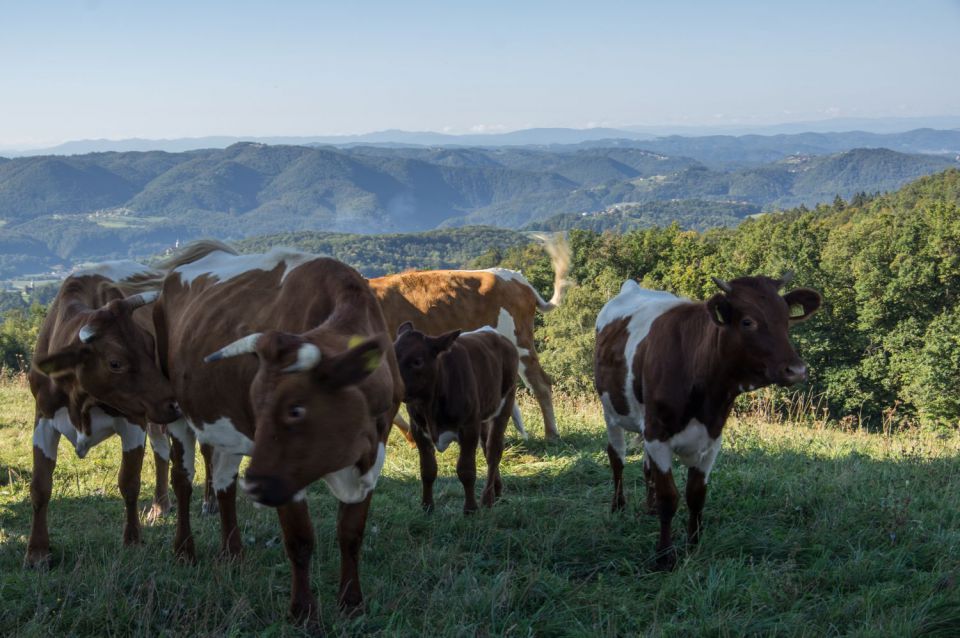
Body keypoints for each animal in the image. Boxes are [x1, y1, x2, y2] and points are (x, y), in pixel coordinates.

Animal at [25, 262, 182, 568]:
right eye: (115, 363)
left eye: (150, 344)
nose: (173, 403)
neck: (81, 401)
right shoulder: (44, 419)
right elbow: (40, 487)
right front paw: (37, 552)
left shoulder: (134, 421)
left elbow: (129, 482)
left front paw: (132, 541)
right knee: (162, 449)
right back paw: (160, 506)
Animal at [154, 242, 402, 624]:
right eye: (258, 404)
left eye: (295, 409)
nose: (256, 486)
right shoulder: (284, 475)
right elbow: (300, 539)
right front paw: (303, 611)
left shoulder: (375, 454)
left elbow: (351, 533)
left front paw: (351, 602)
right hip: (176, 410)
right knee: (183, 480)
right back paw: (184, 551)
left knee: (224, 483)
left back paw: (233, 553)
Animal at [394, 320, 520, 516]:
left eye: (417, 361)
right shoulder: (418, 429)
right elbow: (427, 470)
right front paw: (427, 506)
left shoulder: (468, 427)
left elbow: (466, 470)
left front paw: (470, 509)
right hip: (482, 416)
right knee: (486, 448)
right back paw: (497, 489)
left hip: (505, 403)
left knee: (494, 451)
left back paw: (488, 498)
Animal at [592, 276, 824, 568]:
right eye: (747, 321)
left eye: (786, 319)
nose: (797, 370)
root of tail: (633, 286)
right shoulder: (658, 434)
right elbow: (670, 497)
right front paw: (664, 556)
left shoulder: (712, 438)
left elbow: (696, 495)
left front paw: (694, 544)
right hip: (610, 411)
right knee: (617, 458)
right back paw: (618, 506)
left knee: (646, 468)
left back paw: (650, 507)